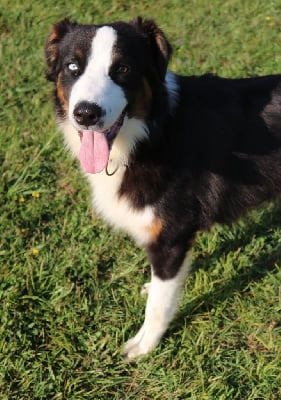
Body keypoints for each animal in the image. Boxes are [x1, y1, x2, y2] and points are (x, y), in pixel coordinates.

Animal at [44, 16, 280, 360]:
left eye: (123, 69)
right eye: (72, 66)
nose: (86, 113)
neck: (149, 134)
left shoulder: (171, 235)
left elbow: (158, 305)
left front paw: (143, 345)